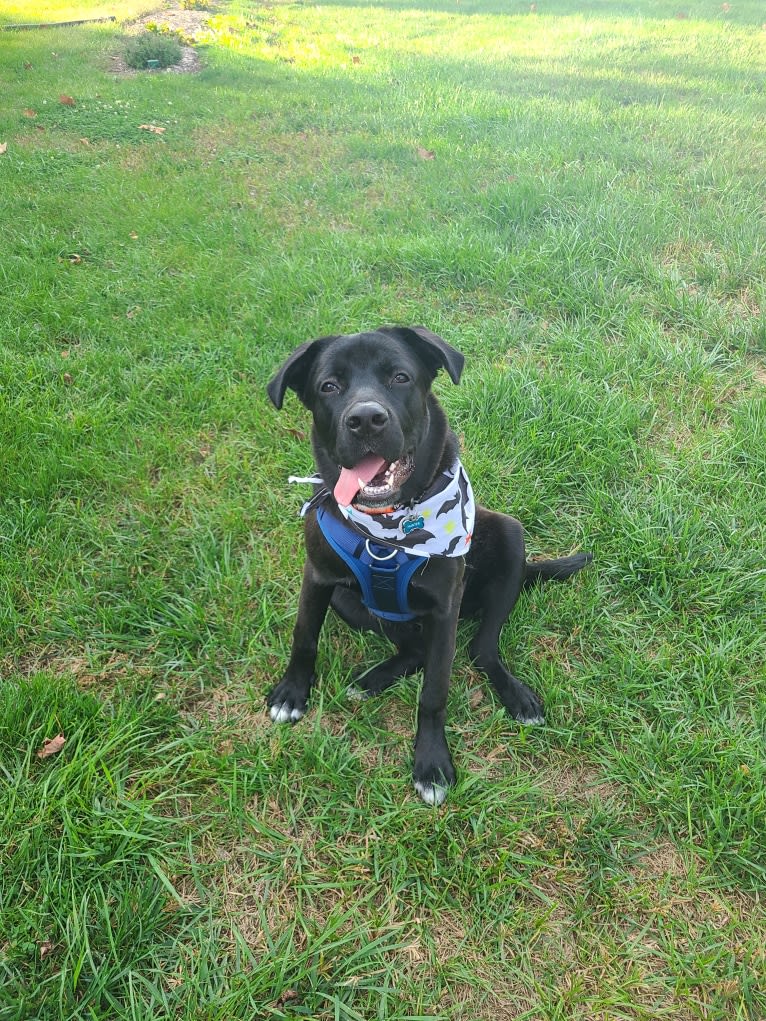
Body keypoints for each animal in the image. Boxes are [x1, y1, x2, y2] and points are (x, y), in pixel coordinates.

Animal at [267, 326, 592, 804]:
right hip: (349, 600)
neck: (389, 527)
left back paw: (515, 695)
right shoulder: (319, 577)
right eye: (329, 386)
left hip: (508, 540)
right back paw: (372, 680)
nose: (366, 419)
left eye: (400, 377)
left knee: (479, 650)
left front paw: (432, 764)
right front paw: (291, 693)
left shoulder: (443, 609)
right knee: (414, 649)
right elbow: (304, 636)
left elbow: (434, 692)